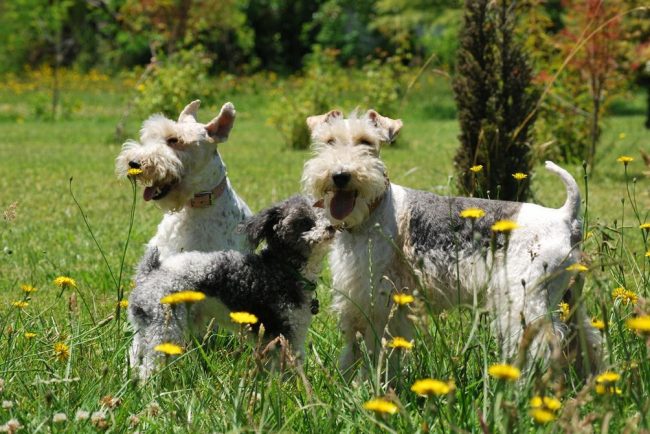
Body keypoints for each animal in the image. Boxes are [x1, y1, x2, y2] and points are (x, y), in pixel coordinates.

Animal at [127, 195, 334, 378]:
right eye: (304, 222)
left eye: (325, 213)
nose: (331, 227)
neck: (283, 267)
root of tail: (150, 273)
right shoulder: (286, 333)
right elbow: (290, 368)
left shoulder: (271, 339)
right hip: (165, 327)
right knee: (150, 366)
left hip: (146, 327)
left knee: (135, 354)